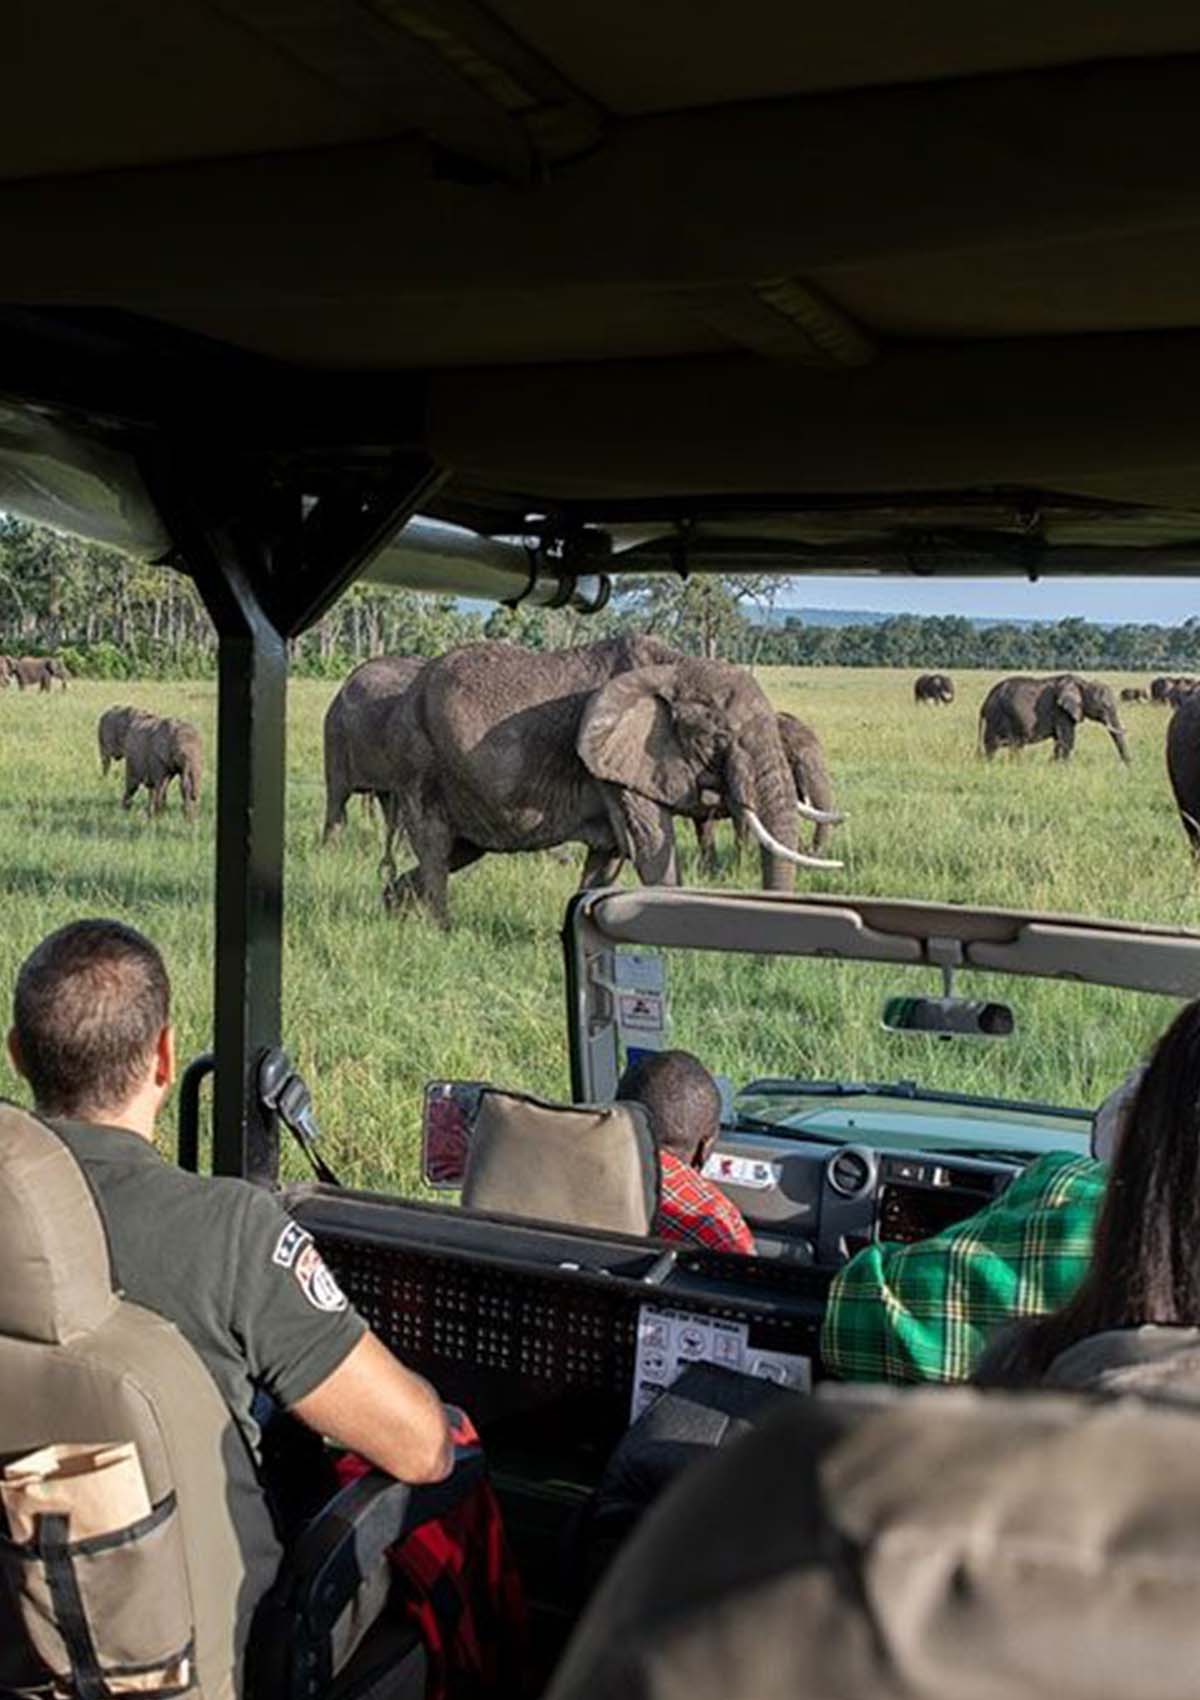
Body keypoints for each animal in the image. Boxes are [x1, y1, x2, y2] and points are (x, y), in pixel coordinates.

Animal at [979, 673, 1128, 768]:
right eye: (1104, 707)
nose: (1127, 766)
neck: (1083, 683)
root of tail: (985, 701)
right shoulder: (1060, 711)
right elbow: (1067, 741)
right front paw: (1063, 768)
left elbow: (1060, 740)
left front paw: (1054, 765)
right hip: (997, 716)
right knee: (993, 746)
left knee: (1015, 746)